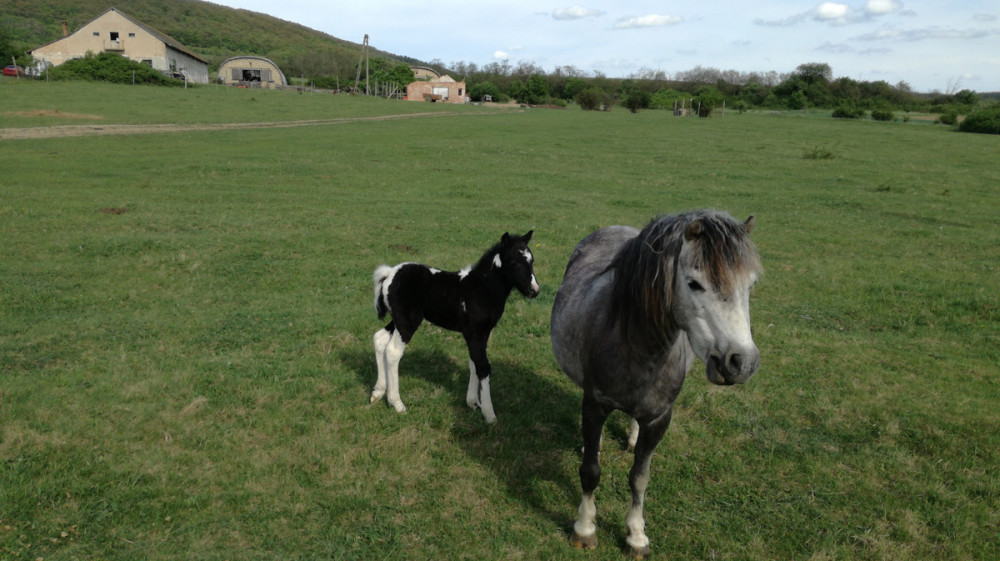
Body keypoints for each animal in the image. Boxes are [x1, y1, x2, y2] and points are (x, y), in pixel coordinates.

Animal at [372, 231, 540, 420]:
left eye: (532, 260)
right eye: (514, 262)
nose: (534, 290)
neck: (481, 288)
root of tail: (389, 273)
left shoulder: (482, 333)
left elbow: (474, 363)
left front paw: (473, 402)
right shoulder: (474, 333)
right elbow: (483, 366)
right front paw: (489, 414)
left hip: (398, 320)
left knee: (380, 339)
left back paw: (378, 392)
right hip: (407, 321)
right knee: (393, 352)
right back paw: (397, 403)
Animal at [552, 209, 760, 556]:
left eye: (751, 284)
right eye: (694, 283)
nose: (741, 362)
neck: (636, 347)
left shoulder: (660, 418)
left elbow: (640, 477)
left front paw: (636, 535)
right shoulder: (595, 406)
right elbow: (590, 472)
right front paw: (584, 528)